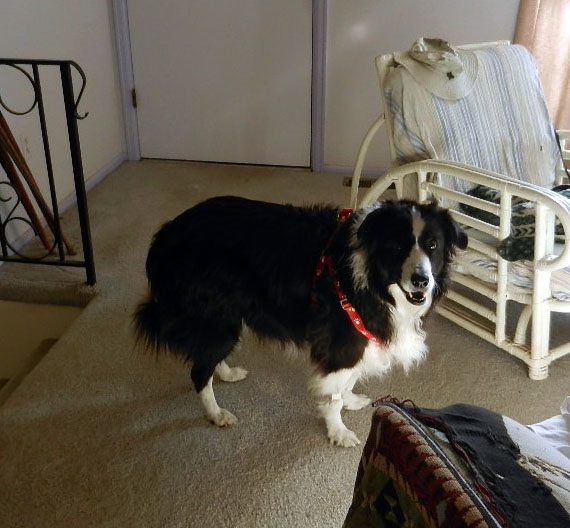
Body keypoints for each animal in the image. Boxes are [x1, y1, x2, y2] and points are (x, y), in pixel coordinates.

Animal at [134, 196, 467, 447]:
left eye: (433, 245)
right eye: (397, 247)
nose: (421, 281)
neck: (373, 280)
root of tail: (165, 236)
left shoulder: (357, 339)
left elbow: (348, 380)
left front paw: (351, 401)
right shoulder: (340, 342)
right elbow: (333, 395)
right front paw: (338, 433)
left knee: (208, 357)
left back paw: (228, 374)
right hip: (218, 318)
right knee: (199, 371)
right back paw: (217, 414)